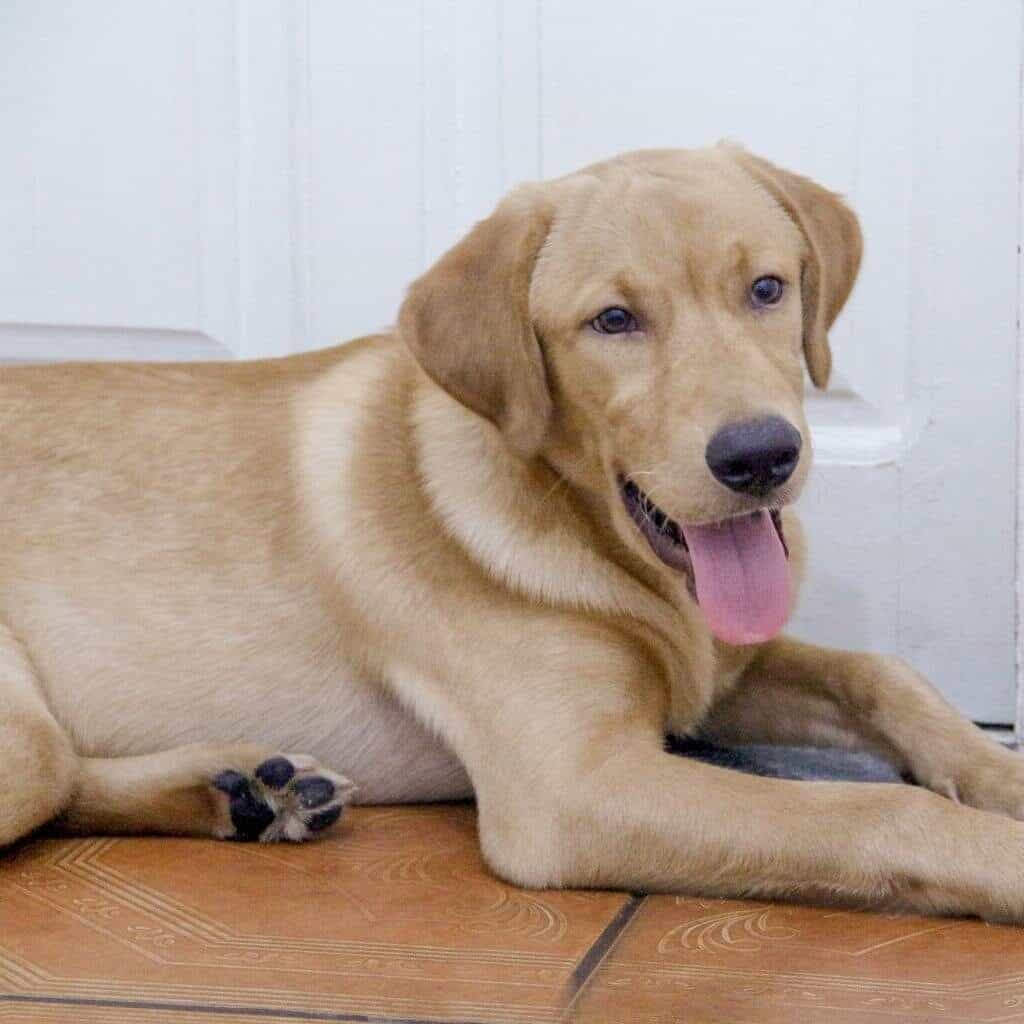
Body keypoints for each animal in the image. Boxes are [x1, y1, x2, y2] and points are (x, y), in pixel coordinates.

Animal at [2, 144, 1024, 921]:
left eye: (767, 288)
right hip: (24, 737)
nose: (759, 456)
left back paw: (247, 787)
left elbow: (884, 674)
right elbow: (874, 813)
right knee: (48, 782)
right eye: (613, 320)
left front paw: (1002, 778)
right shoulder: (575, 792)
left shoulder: (712, 672)